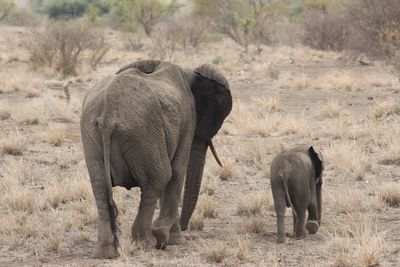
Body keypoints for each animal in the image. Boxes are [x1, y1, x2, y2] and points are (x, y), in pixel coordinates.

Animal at [80, 59, 233, 258]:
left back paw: (106, 253)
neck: (190, 73)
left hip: (92, 131)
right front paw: (173, 240)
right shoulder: (188, 118)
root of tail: (108, 115)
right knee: (159, 177)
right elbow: (177, 172)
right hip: (143, 131)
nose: (185, 227)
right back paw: (147, 242)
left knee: (100, 187)